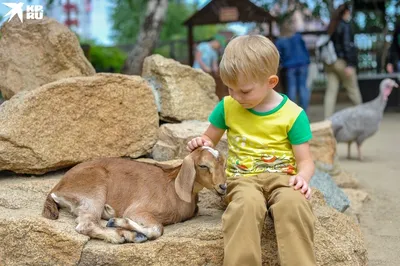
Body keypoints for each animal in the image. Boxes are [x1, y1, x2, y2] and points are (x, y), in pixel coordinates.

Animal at [43, 147, 228, 244]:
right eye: (203, 165)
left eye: (224, 164)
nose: (223, 186)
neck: (173, 188)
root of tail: (57, 187)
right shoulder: (138, 210)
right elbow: (157, 228)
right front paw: (119, 222)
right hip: (94, 191)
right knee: (86, 224)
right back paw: (123, 234)